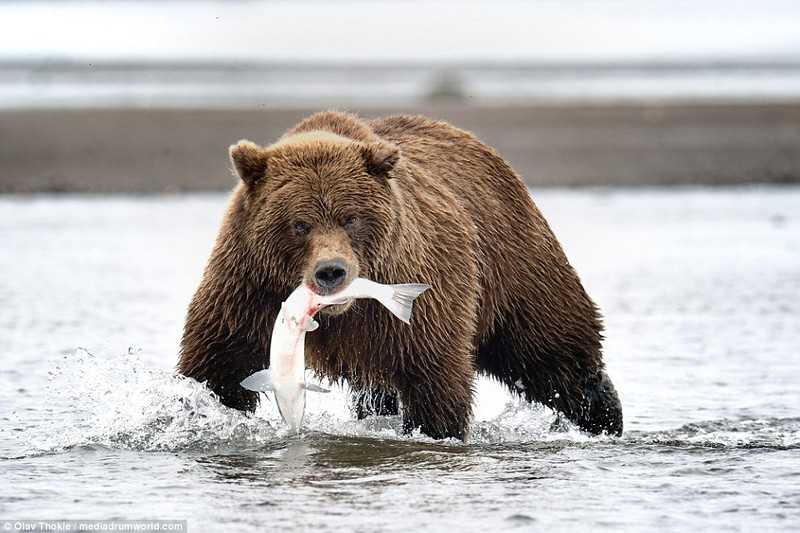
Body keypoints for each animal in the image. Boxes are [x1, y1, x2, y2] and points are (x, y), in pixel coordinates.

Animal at [178, 110, 620, 438]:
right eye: (299, 224)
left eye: (351, 217)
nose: (330, 271)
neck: (343, 314)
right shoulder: (246, 290)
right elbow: (217, 368)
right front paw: (196, 414)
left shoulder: (422, 296)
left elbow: (435, 377)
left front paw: (435, 431)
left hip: (513, 265)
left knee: (552, 353)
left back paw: (603, 417)